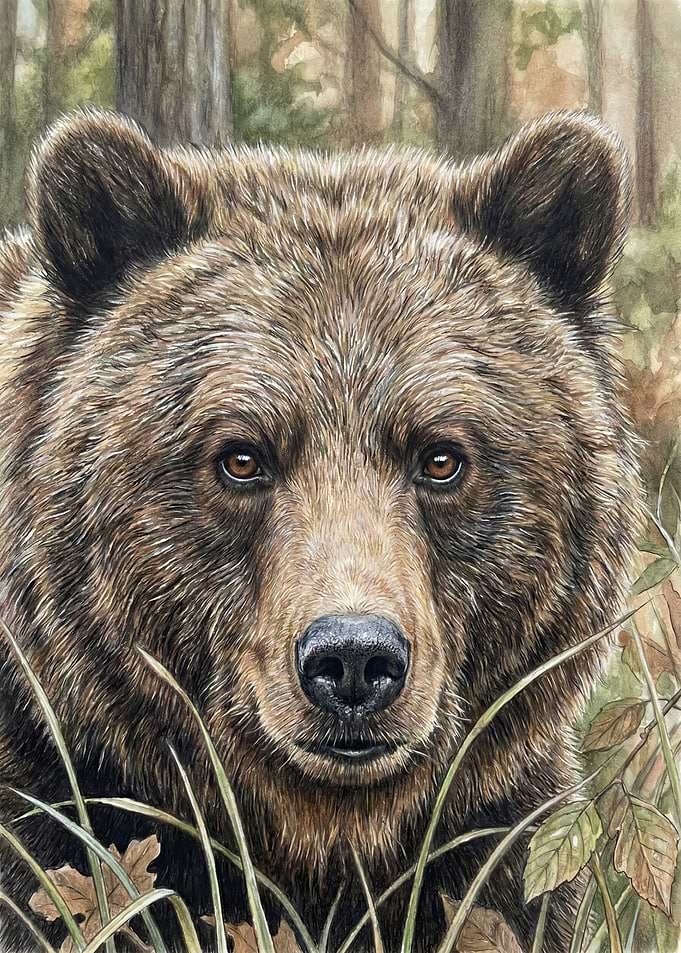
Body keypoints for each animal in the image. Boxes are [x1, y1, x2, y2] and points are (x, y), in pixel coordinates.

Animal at [0, 108, 640, 953]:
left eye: (440, 457)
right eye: (240, 456)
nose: (354, 659)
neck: (321, 841)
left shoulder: (494, 846)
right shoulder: (46, 820)